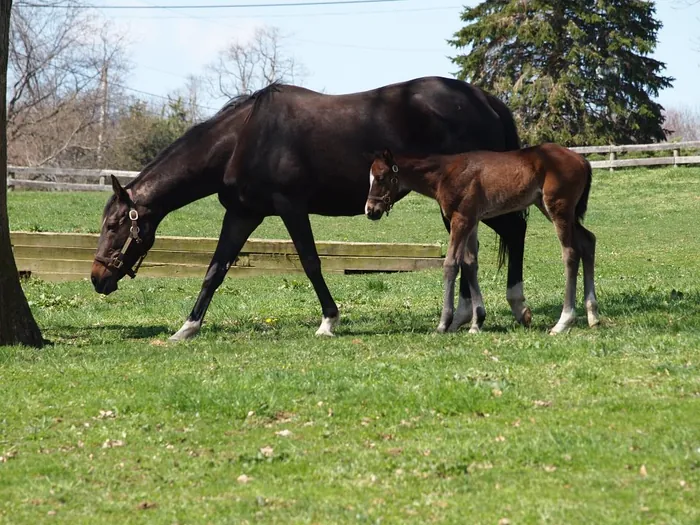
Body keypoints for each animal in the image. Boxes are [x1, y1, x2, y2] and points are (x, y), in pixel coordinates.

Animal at [90, 76, 532, 340]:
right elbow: (216, 269)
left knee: (513, 232)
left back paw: (515, 306)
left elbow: (310, 262)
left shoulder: (290, 207)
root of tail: (485, 99)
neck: (244, 137)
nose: (97, 278)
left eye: (114, 225)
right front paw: (188, 326)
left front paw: (329, 320)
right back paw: (464, 316)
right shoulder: (242, 213)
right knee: (471, 251)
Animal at [365, 144, 600, 335]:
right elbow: (470, 263)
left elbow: (451, 264)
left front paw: (443, 323)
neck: (444, 174)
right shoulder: (472, 221)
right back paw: (593, 316)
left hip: (559, 208)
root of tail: (583, 160)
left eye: (381, 177)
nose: (370, 210)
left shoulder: (460, 219)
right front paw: (477, 322)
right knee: (588, 241)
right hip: (550, 208)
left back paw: (563, 321)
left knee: (570, 253)